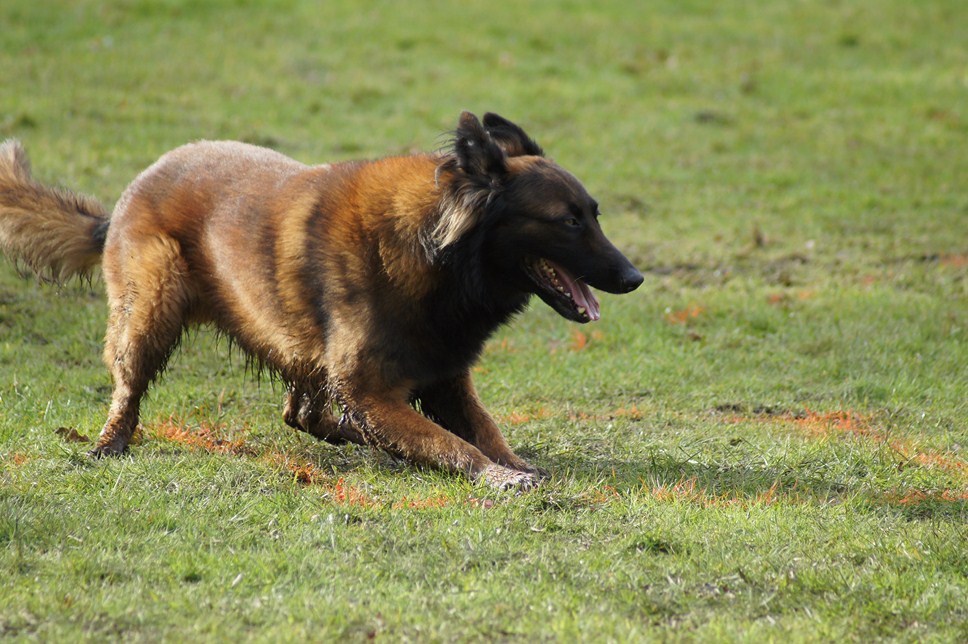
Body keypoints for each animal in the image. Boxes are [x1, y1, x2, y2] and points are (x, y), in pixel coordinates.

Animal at [3, 113, 648, 490]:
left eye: (594, 213)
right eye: (568, 221)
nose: (636, 277)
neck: (433, 249)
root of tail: (123, 202)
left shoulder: (443, 379)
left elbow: (480, 431)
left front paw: (512, 464)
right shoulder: (368, 385)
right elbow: (453, 444)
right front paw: (498, 478)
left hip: (296, 344)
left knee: (304, 416)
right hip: (150, 314)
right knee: (129, 387)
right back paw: (108, 445)